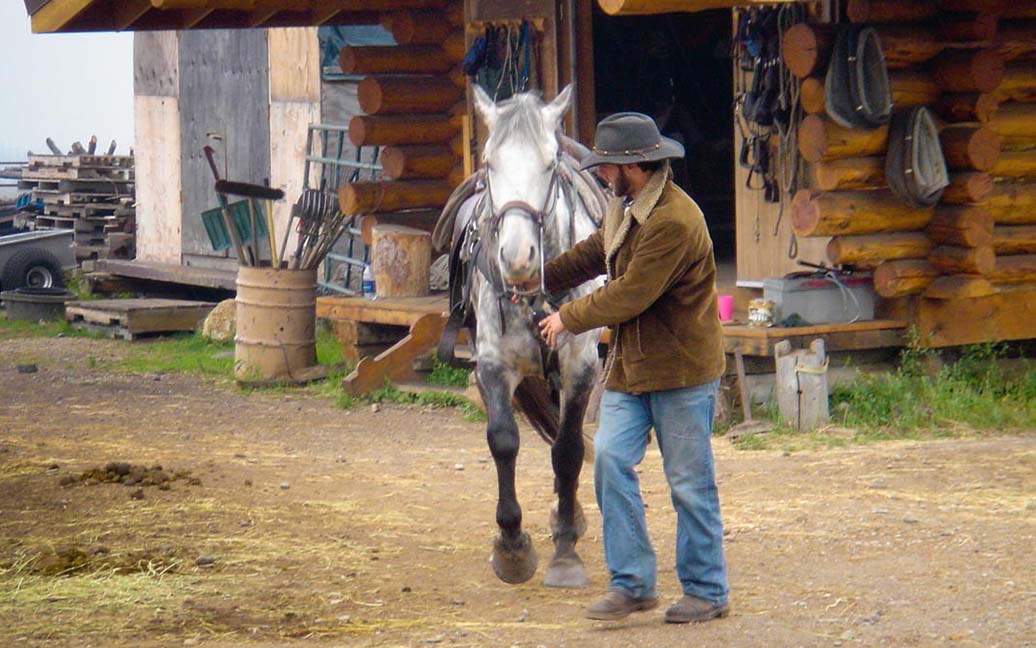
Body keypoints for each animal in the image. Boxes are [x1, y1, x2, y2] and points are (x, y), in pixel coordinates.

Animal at [439, 84, 605, 584]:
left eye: (549, 163)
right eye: (489, 162)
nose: (516, 256)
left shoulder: (580, 365)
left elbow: (569, 449)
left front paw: (565, 546)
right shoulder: (492, 363)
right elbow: (503, 440)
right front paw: (512, 544)